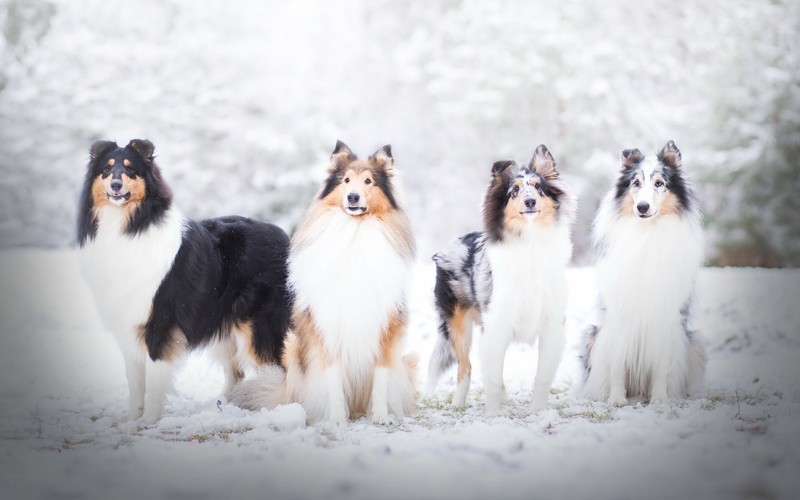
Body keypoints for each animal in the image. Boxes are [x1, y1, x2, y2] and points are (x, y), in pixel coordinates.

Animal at [77, 139, 290, 424]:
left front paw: (148, 421)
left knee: (281, 369)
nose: (116, 185)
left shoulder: (159, 324)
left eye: (130, 169)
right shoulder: (129, 325)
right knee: (237, 372)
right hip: (224, 325)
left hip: (257, 327)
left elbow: (154, 378)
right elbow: (135, 380)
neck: (128, 226)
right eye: (107, 169)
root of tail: (284, 235)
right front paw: (130, 418)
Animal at [432, 145, 576, 414]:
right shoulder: (498, 323)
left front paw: (537, 412)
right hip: (457, 324)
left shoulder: (552, 325)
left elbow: (542, 376)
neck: (530, 243)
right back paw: (458, 404)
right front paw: (492, 414)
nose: (530, 201)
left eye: (538, 187)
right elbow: (491, 375)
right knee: (465, 366)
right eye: (514, 190)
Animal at [580, 141, 704, 406]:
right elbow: (618, 362)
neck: (647, 233)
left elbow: (660, 366)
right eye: (635, 183)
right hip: (592, 336)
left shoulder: (666, 315)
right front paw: (617, 399)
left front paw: (659, 398)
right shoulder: (618, 314)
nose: (643, 207)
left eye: (659, 183)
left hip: (696, 343)